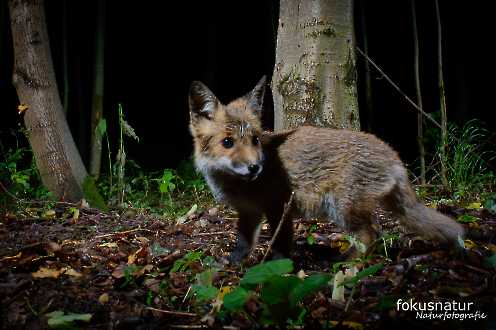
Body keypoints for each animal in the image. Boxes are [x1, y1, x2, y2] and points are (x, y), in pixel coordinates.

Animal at [187, 76, 464, 262]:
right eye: (227, 142)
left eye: (255, 140)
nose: (255, 167)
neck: (239, 185)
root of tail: (393, 154)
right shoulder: (249, 213)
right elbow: (243, 244)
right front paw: (234, 265)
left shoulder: (279, 207)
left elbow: (280, 245)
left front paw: (276, 269)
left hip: (341, 207)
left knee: (372, 234)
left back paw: (344, 264)